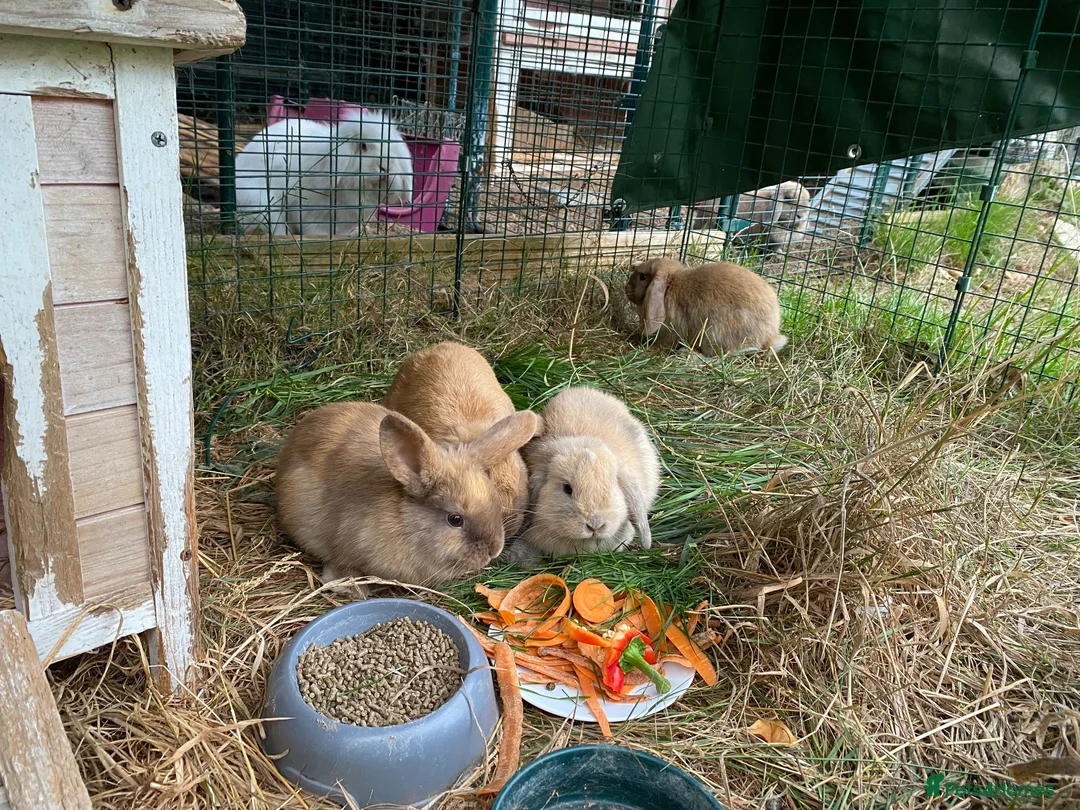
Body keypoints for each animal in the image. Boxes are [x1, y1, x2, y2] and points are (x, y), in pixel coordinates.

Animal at [625, 258, 788, 357]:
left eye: (643, 277)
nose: (627, 289)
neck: (671, 284)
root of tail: (768, 337)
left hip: (714, 332)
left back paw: (688, 354)